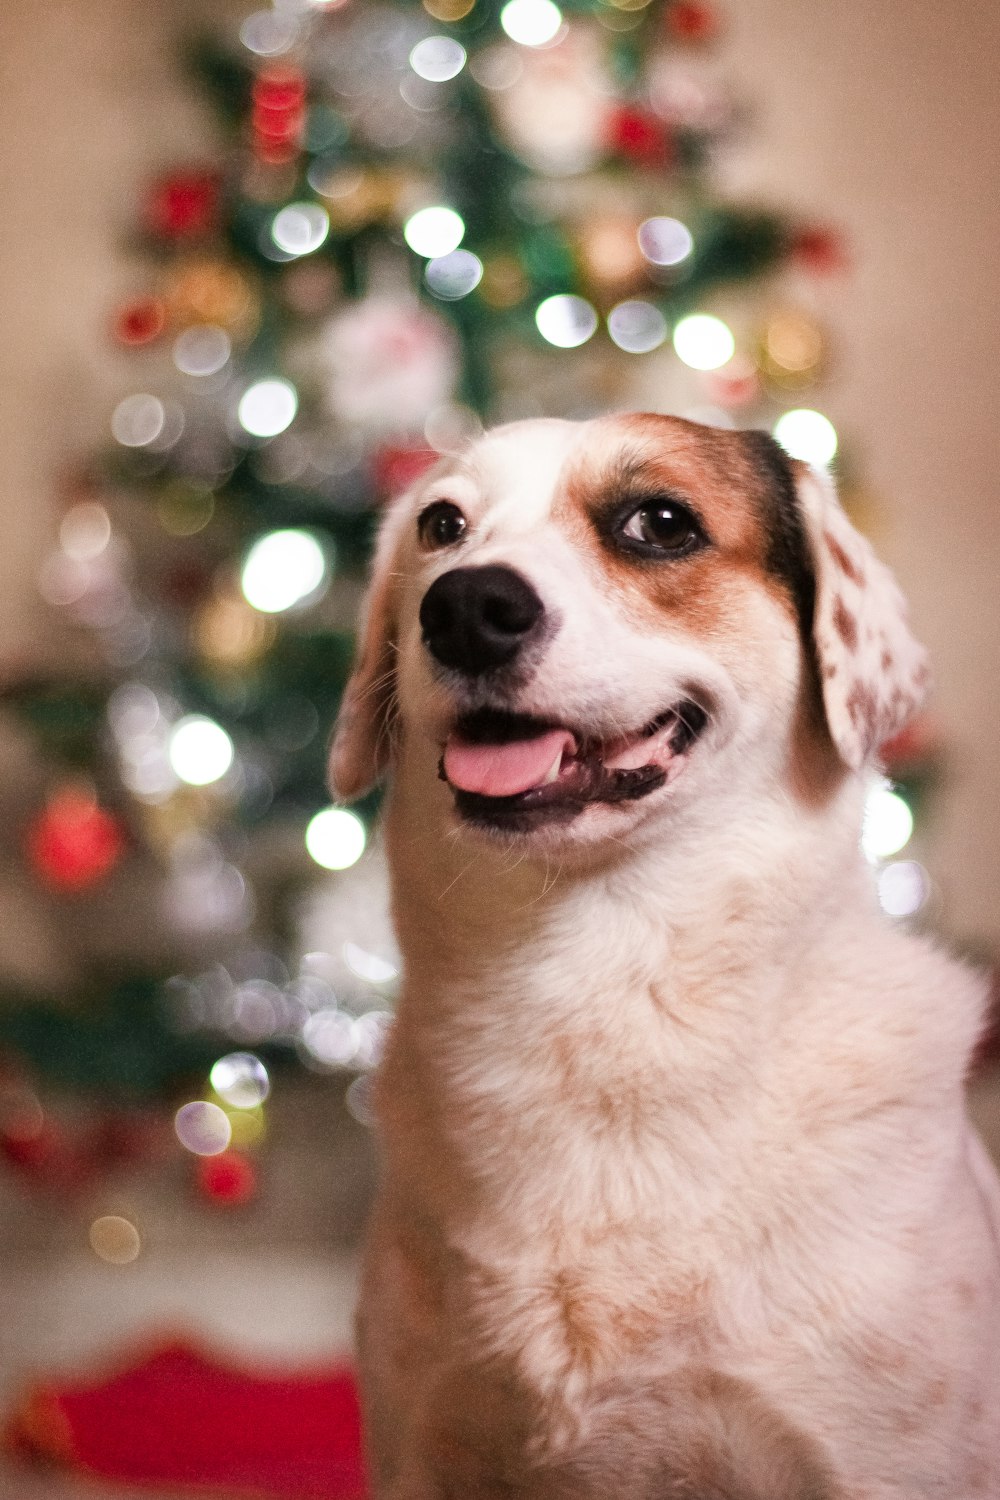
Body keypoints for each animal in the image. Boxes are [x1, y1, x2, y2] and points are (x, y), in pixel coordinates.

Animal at [329, 414, 1000, 1500]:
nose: (465, 606)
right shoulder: (422, 1447)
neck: (598, 984)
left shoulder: (883, 1462)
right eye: (441, 525)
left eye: (660, 523)